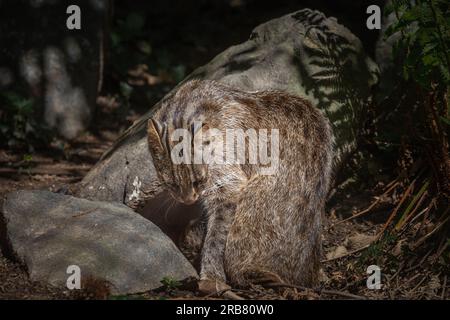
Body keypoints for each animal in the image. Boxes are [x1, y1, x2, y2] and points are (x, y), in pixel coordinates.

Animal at [146, 79, 332, 290]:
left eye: (198, 181)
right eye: (171, 184)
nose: (188, 200)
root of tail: (306, 280)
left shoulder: (228, 186)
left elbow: (216, 236)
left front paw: (211, 275)